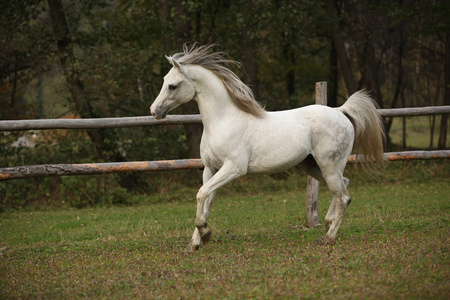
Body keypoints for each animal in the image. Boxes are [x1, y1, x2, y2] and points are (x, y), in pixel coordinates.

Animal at [150, 44, 384, 251]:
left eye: (173, 85)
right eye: (164, 81)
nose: (154, 111)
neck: (223, 121)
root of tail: (340, 111)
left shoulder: (233, 168)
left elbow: (201, 195)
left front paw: (205, 234)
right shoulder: (210, 169)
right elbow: (205, 202)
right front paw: (194, 244)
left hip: (329, 166)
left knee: (344, 197)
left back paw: (328, 238)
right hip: (314, 167)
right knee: (345, 186)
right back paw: (327, 223)